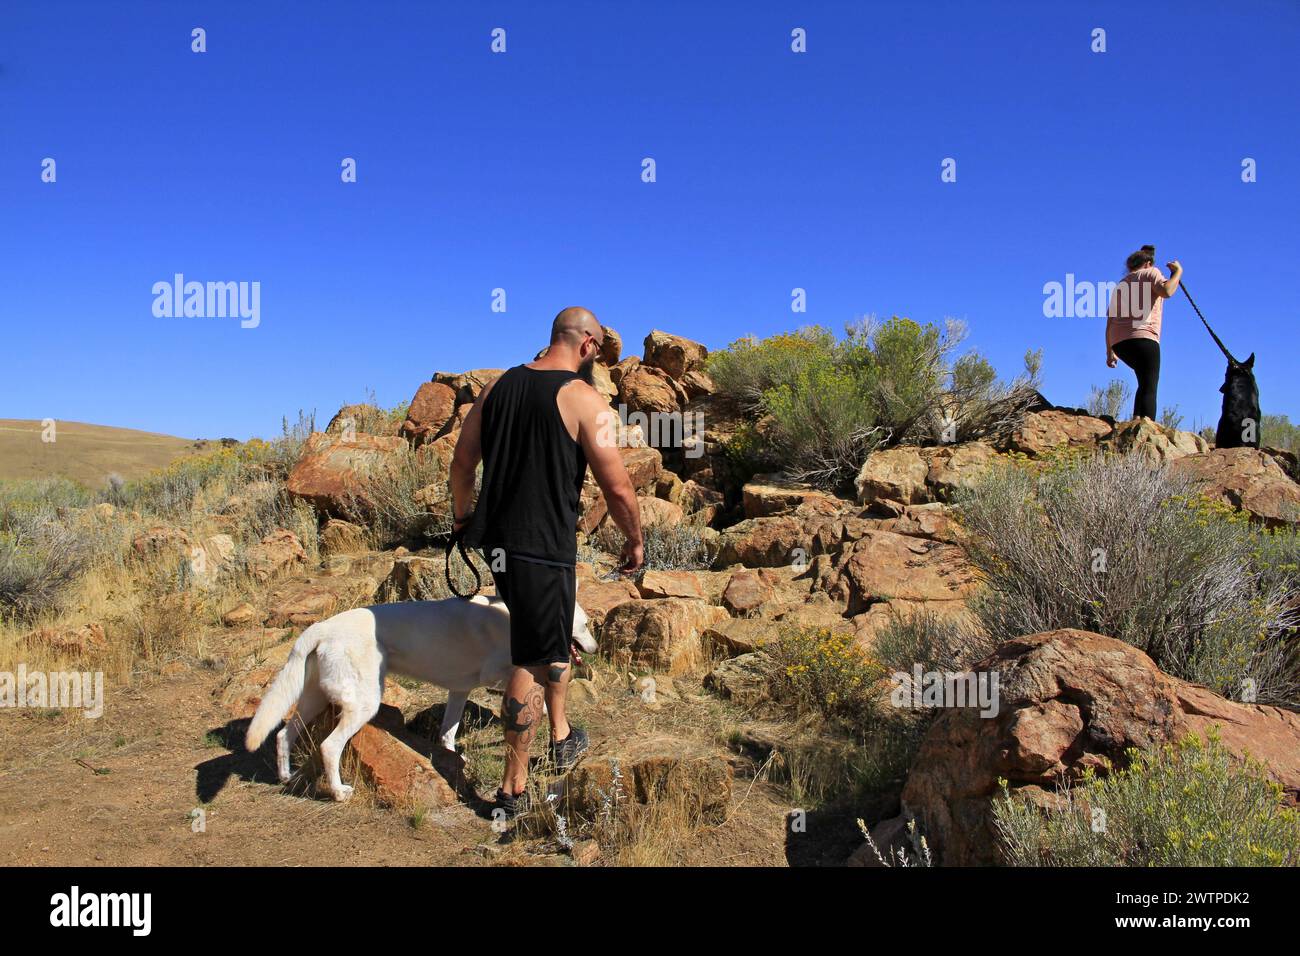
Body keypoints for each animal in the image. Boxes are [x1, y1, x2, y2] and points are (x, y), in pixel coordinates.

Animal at [244, 598, 598, 801]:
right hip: (363, 704)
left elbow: (447, 734)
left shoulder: (459, 691)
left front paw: (452, 757)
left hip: (313, 700)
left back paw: (286, 776)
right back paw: (339, 793)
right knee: (329, 746)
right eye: (584, 626)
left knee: (283, 733)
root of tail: (321, 627)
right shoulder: (503, 673)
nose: (595, 648)